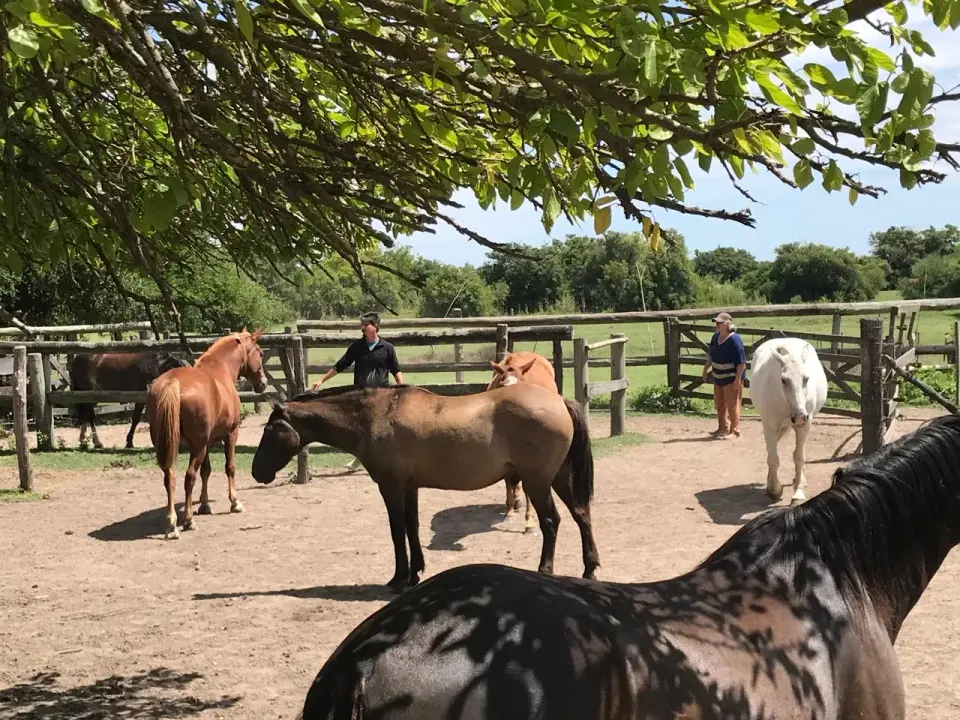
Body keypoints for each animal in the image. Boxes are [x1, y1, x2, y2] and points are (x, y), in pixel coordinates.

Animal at [146, 328, 266, 539]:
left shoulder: (208, 442)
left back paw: (172, 524)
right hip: (197, 448)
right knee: (189, 478)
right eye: (260, 353)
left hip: (170, 447)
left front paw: (204, 504)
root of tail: (172, 382)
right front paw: (235, 502)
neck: (220, 369)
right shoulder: (230, 434)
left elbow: (207, 471)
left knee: (170, 479)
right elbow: (229, 467)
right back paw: (188, 520)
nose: (263, 383)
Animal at [251, 383, 599, 592]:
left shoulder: (390, 487)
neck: (377, 415)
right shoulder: (410, 487)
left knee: (551, 522)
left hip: (537, 482)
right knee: (582, 516)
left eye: (269, 430)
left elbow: (397, 531)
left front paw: (399, 578)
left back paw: (545, 570)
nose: (256, 472)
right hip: (559, 478)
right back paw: (589, 569)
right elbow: (412, 527)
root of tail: (559, 400)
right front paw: (416, 571)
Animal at [750, 337, 828, 505]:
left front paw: (798, 492)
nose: (800, 416)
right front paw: (774, 489)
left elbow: (799, 457)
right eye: (783, 380)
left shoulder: (804, 426)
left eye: (806, 378)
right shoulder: (769, 426)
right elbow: (773, 459)